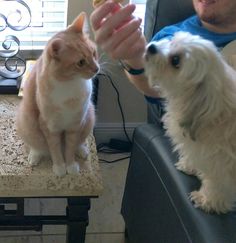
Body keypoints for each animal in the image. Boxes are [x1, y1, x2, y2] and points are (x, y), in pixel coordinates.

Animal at [15, 12, 98, 177]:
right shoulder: (50, 127)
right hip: (26, 120)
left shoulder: (75, 124)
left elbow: (70, 147)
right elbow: (55, 149)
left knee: (79, 142)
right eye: (80, 62)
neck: (70, 84)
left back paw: (82, 150)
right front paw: (60, 167)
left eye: (94, 53)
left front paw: (70, 165)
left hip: (90, 116)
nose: (97, 68)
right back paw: (34, 156)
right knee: (37, 145)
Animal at [145, 31, 236, 214]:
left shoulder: (224, 163)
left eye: (175, 61)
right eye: (172, 41)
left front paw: (209, 200)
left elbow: (219, 185)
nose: (151, 47)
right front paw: (190, 166)